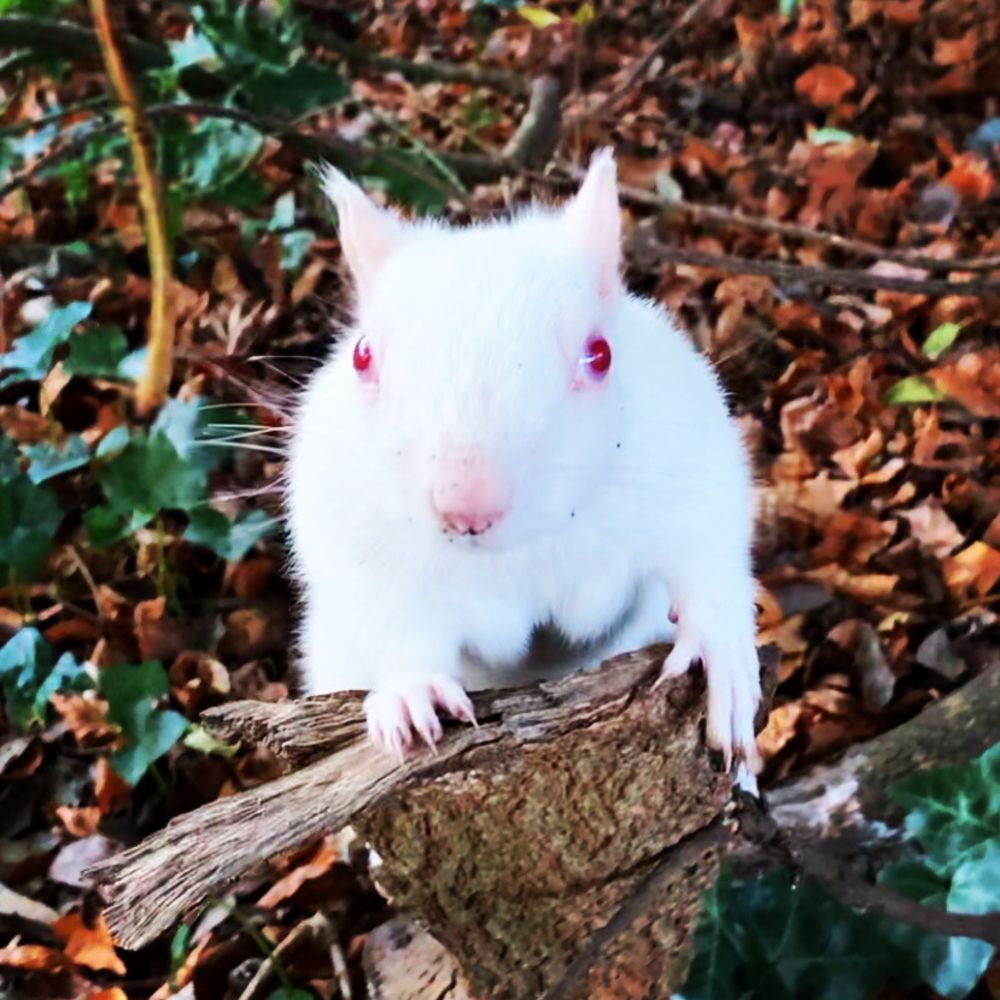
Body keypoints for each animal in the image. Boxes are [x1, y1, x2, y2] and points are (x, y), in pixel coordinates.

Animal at [286, 148, 760, 776]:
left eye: (600, 355)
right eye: (362, 357)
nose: (467, 509)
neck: (521, 553)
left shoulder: (691, 459)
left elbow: (707, 555)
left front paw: (720, 650)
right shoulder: (353, 536)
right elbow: (392, 616)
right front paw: (413, 691)